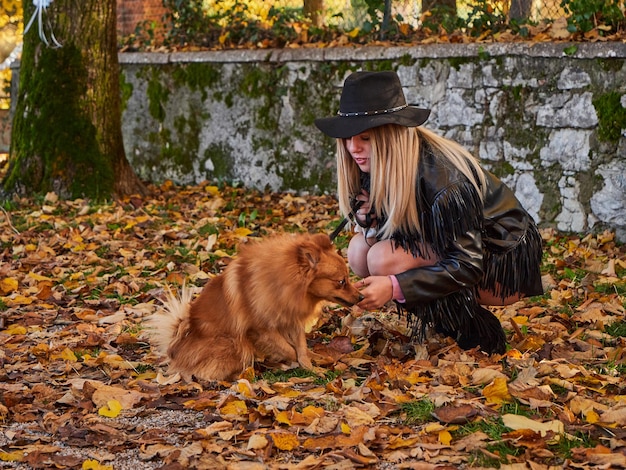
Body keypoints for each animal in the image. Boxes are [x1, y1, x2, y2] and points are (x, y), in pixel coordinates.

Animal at [147, 232, 360, 382]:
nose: (361, 296)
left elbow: (300, 346)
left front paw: (309, 367)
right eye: (341, 282)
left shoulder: (291, 319)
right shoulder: (260, 329)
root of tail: (176, 343)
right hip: (230, 343)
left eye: (348, 279)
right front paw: (294, 363)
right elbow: (290, 349)